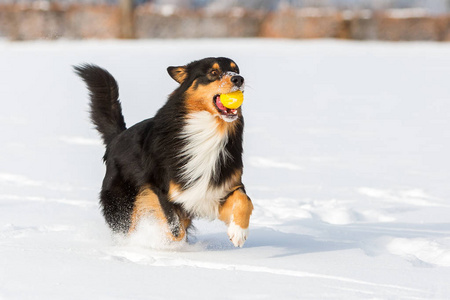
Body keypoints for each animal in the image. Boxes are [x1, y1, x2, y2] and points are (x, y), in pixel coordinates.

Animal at [74, 57, 253, 247]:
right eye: (213, 72)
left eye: (236, 70)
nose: (238, 79)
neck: (208, 129)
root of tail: (117, 136)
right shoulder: (161, 189)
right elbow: (175, 229)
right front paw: (167, 245)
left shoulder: (219, 186)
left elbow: (244, 200)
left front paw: (238, 232)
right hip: (123, 202)